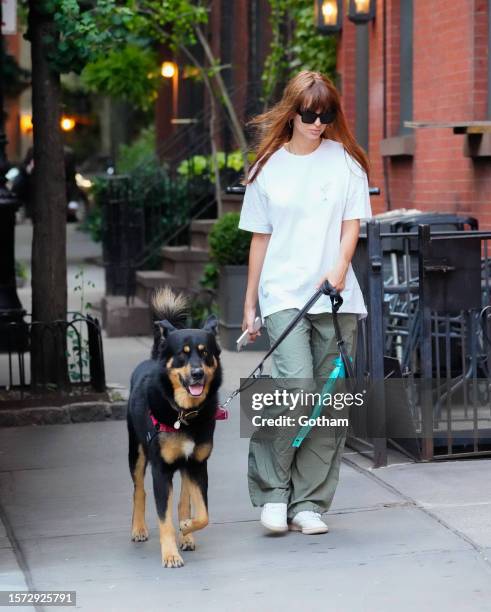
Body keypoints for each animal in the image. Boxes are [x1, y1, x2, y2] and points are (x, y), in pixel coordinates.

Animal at [129, 286, 225, 568]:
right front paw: (170, 554)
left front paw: (187, 528)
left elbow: (202, 513)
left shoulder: (198, 465)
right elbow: (164, 520)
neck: (184, 413)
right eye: (182, 353)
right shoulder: (161, 470)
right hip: (137, 452)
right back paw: (138, 529)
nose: (197, 374)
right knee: (139, 490)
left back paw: (187, 534)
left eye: (205, 353)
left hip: (186, 466)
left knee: (184, 500)